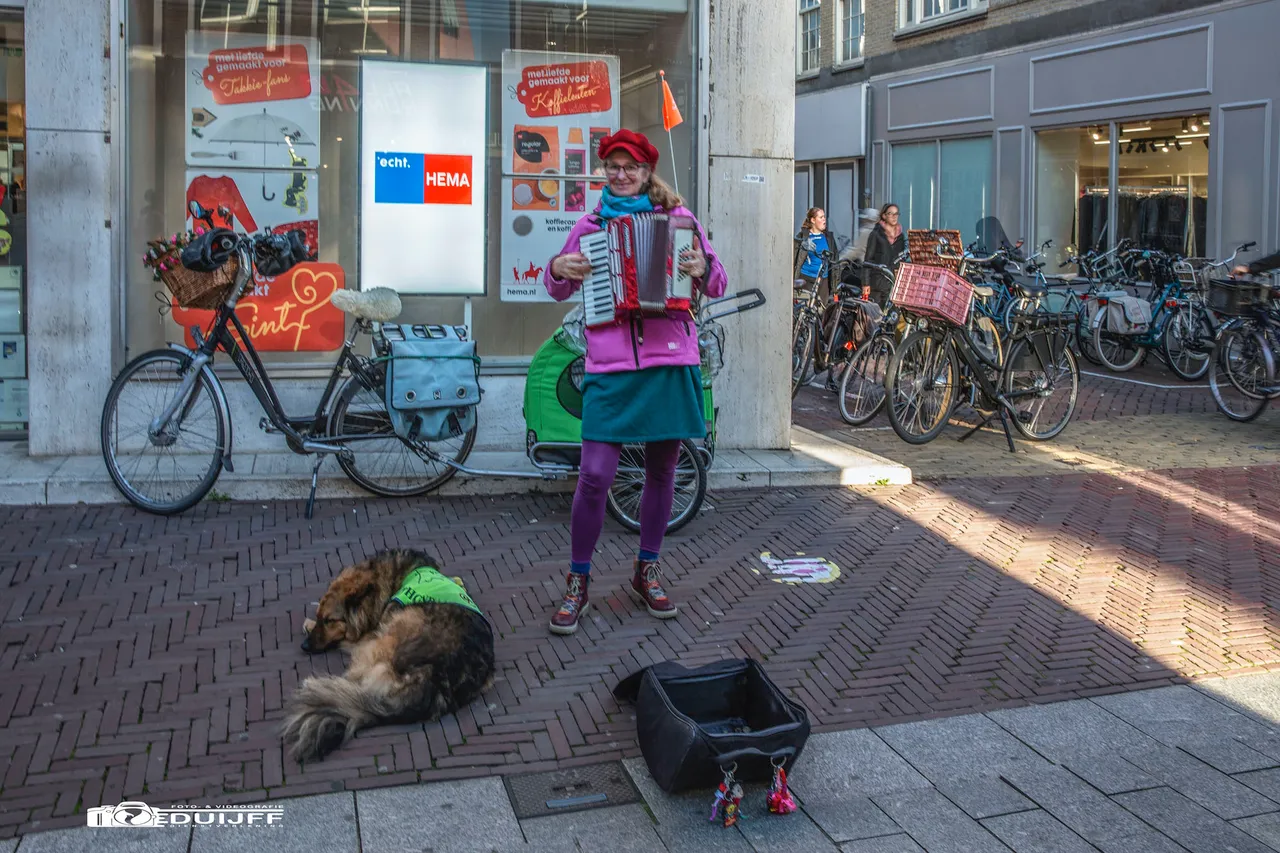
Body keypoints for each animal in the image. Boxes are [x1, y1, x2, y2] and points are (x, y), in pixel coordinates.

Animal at [280, 548, 494, 758]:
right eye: (321, 617)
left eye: (330, 621)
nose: (304, 646)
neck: (388, 576)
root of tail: (434, 678)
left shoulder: (366, 636)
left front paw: (308, 625)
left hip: (380, 641)